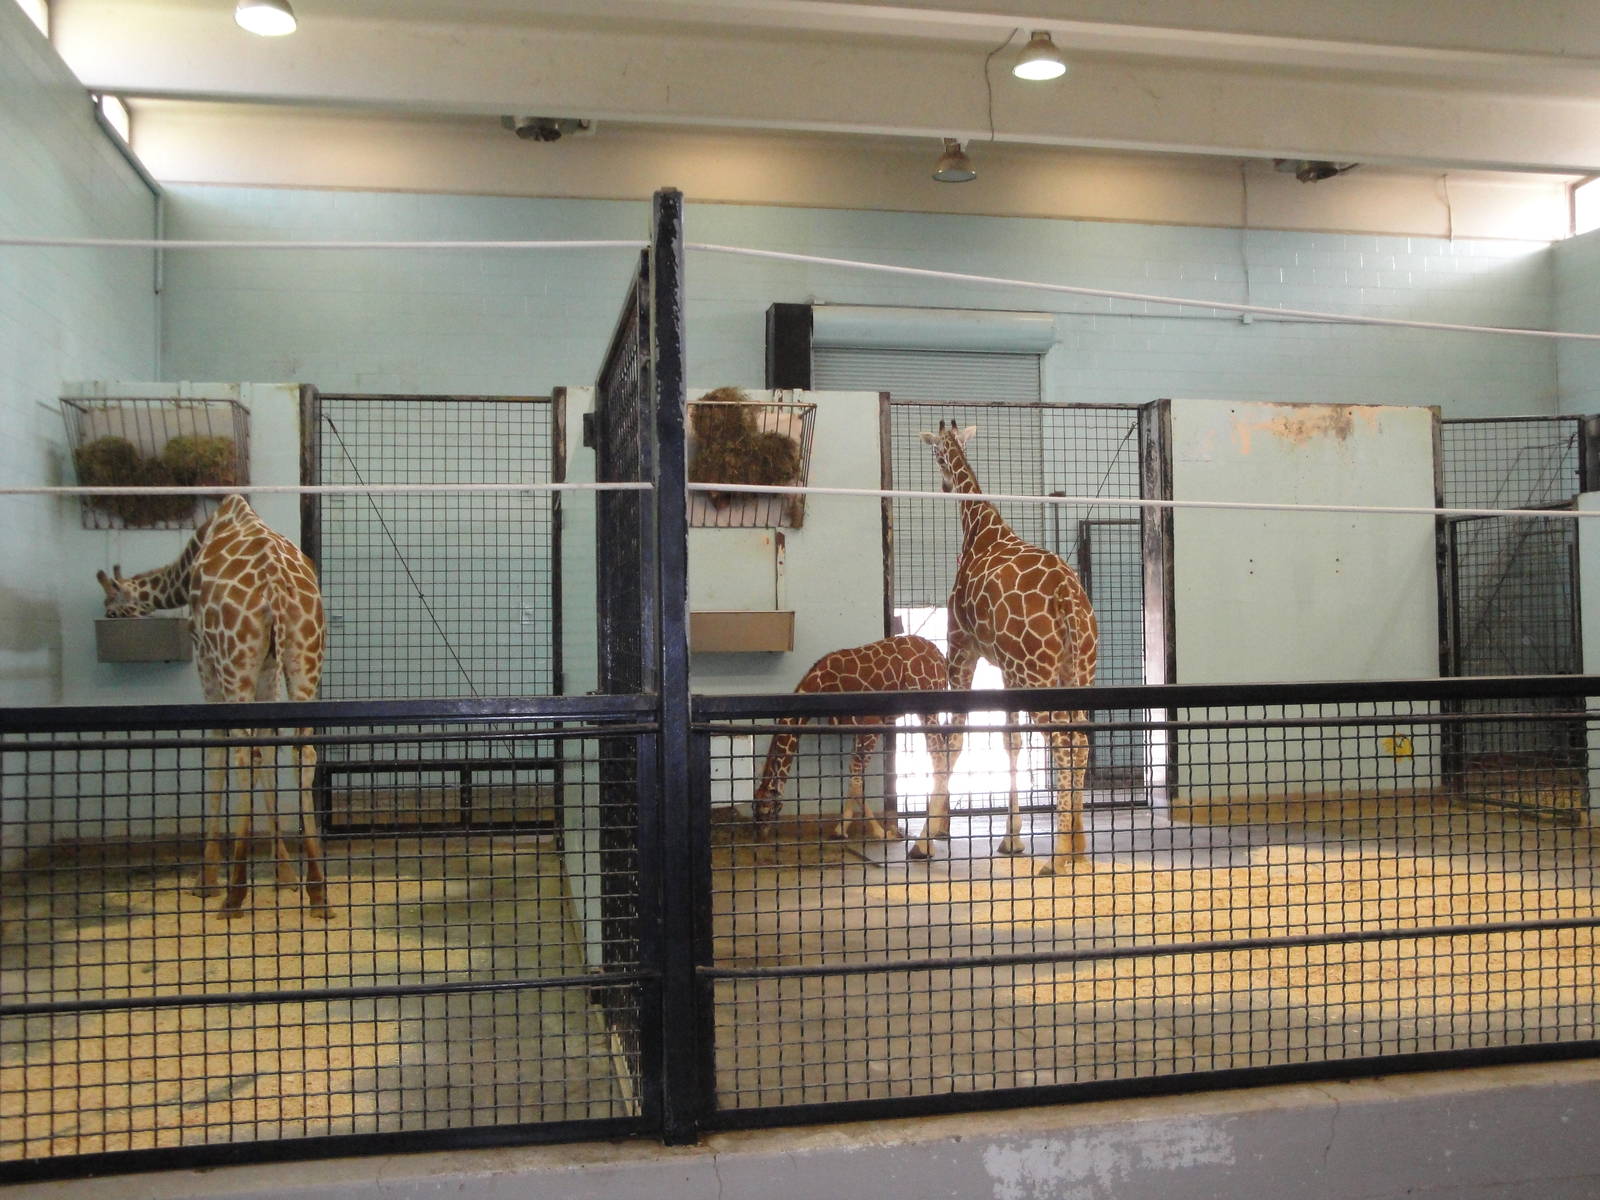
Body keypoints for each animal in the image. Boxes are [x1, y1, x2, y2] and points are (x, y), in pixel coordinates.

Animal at [96, 494, 330, 918]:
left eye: (111, 607)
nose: (108, 616)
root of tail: (276, 586)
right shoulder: (268, 666)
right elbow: (266, 747)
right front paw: (285, 873)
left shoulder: (205, 658)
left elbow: (219, 749)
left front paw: (206, 878)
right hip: (305, 654)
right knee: (302, 752)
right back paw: (318, 891)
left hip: (234, 660)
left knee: (239, 753)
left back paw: (234, 892)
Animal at [751, 634, 958, 843]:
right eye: (753, 809)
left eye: (766, 810)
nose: (760, 836)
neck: (820, 684)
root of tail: (941, 658)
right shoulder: (854, 728)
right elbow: (853, 776)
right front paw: (840, 830)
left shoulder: (871, 723)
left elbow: (856, 780)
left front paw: (883, 832)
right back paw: (941, 828)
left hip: (927, 709)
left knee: (940, 760)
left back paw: (928, 835)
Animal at [920, 421, 1099, 875]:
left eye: (936, 455)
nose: (944, 485)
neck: (980, 530)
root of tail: (1066, 593)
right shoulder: (1005, 667)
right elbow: (1011, 740)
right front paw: (1012, 840)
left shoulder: (960, 648)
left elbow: (953, 739)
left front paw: (927, 840)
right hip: (1076, 670)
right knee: (1080, 740)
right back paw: (1078, 846)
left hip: (1036, 671)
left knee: (1062, 743)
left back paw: (1059, 855)